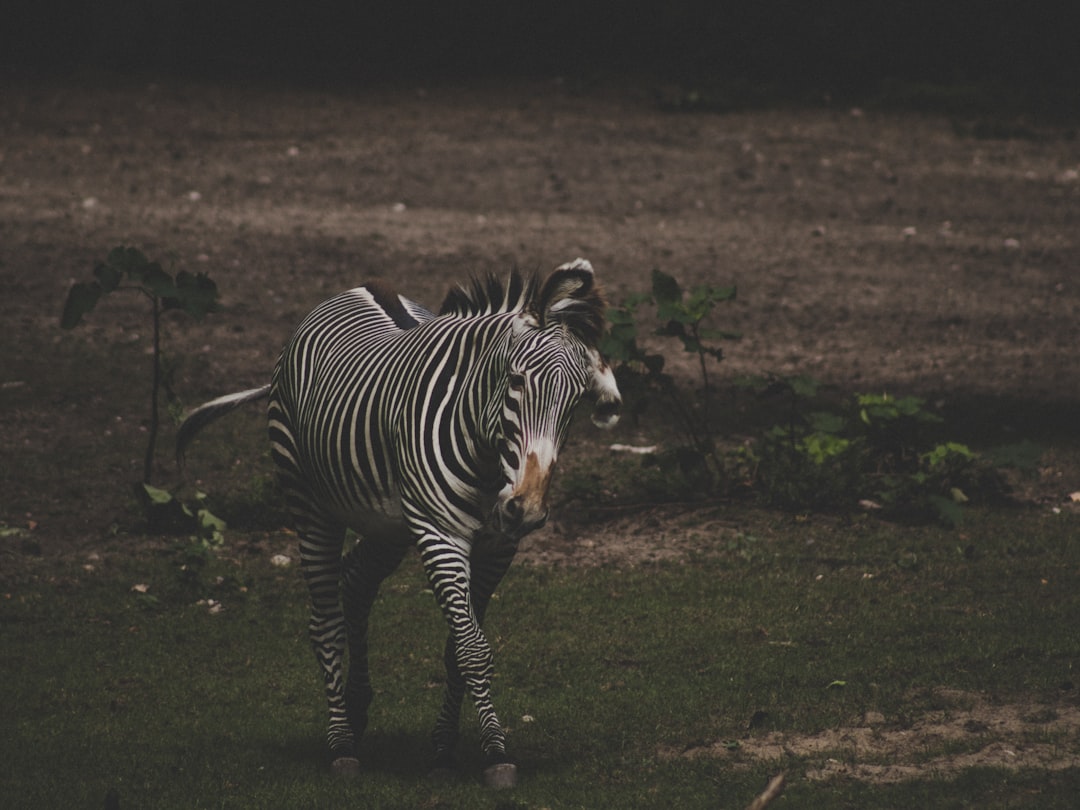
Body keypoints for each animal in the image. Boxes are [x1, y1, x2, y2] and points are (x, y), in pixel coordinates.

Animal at [174, 258, 617, 786]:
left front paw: (446, 748)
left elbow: (459, 648)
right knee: (324, 620)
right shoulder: (440, 534)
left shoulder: (496, 549)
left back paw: (355, 709)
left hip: (388, 525)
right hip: (311, 504)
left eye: (575, 402)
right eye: (514, 380)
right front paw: (495, 753)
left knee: (355, 581)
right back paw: (341, 743)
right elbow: (473, 649)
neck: (488, 458)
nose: (525, 508)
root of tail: (356, 287)